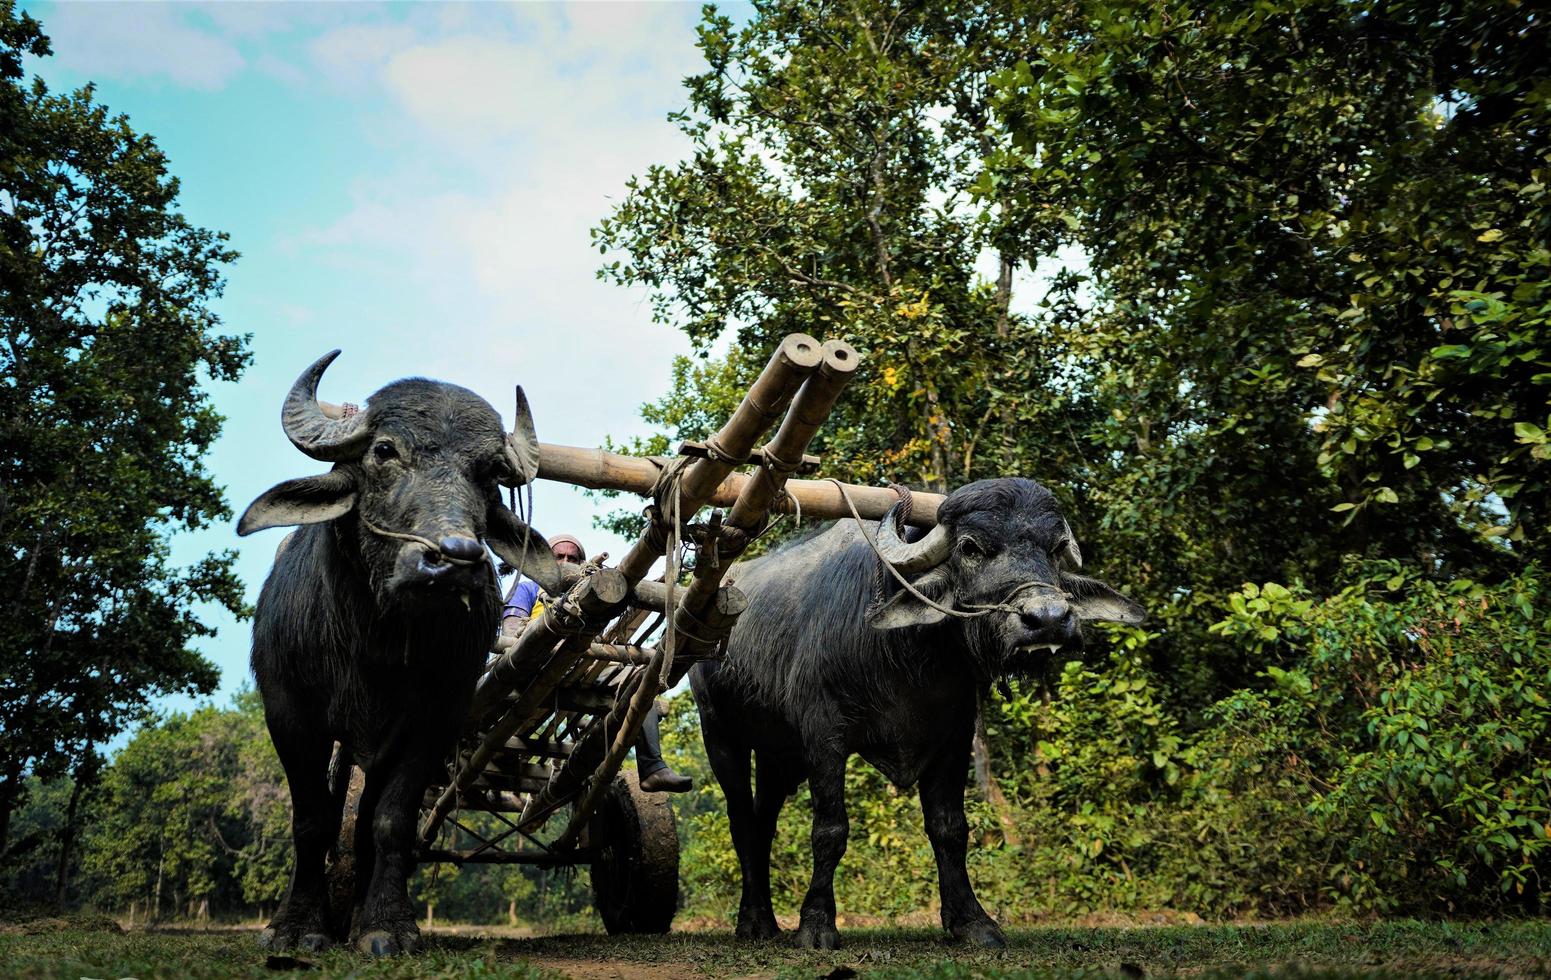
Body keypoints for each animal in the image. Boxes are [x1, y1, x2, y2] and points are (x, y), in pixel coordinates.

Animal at [237, 353, 564, 955]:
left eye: (489, 473)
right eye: (384, 451)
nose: (455, 559)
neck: (375, 641)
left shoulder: (435, 718)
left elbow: (390, 820)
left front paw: (386, 926)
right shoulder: (288, 712)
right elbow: (311, 820)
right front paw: (297, 927)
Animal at [697, 477, 1147, 942]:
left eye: (1056, 548)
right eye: (970, 547)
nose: (1049, 619)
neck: (909, 657)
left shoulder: (955, 737)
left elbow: (950, 827)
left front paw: (972, 921)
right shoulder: (824, 738)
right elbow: (829, 829)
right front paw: (816, 924)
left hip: (778, 755)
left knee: (763, 821)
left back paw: (766, 920)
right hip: (719, 735)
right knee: (741, 821)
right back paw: (753, 920)